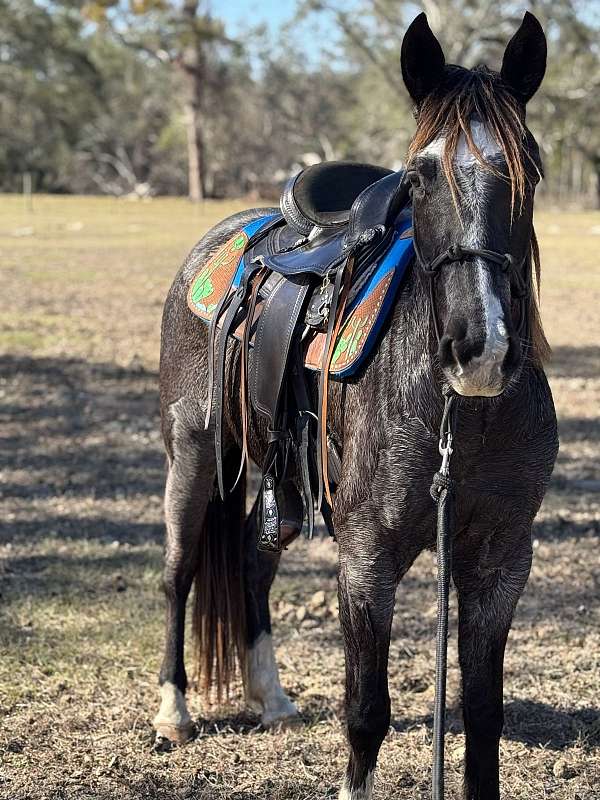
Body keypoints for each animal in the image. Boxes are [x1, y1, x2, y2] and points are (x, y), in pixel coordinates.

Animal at [154, 12, 556, 800]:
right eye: (419, 176)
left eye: (530, 167)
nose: (482, 347)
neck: (459, 416)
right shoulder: (367, 557)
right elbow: (367, 710)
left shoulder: (501, 560)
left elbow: (483, 715)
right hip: (194, 456)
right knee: (179, 571)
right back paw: (174, 710)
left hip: (281, 478)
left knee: (251, 559)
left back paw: (272, 698)